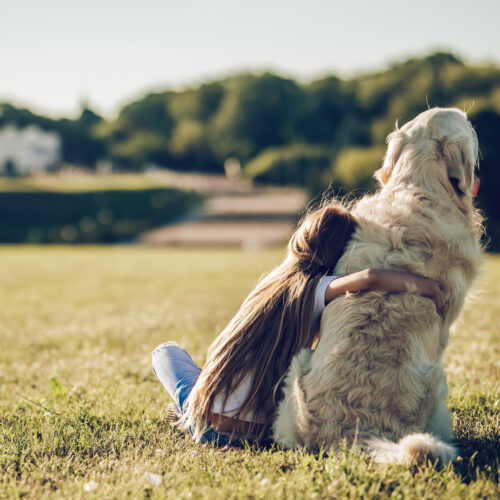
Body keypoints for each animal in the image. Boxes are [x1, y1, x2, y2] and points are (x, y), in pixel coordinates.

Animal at [274, 107, 484, 462]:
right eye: (468, 125)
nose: (473, 119)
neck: (419, 188)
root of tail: (354, 431)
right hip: (437, 381)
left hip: (296, 369)